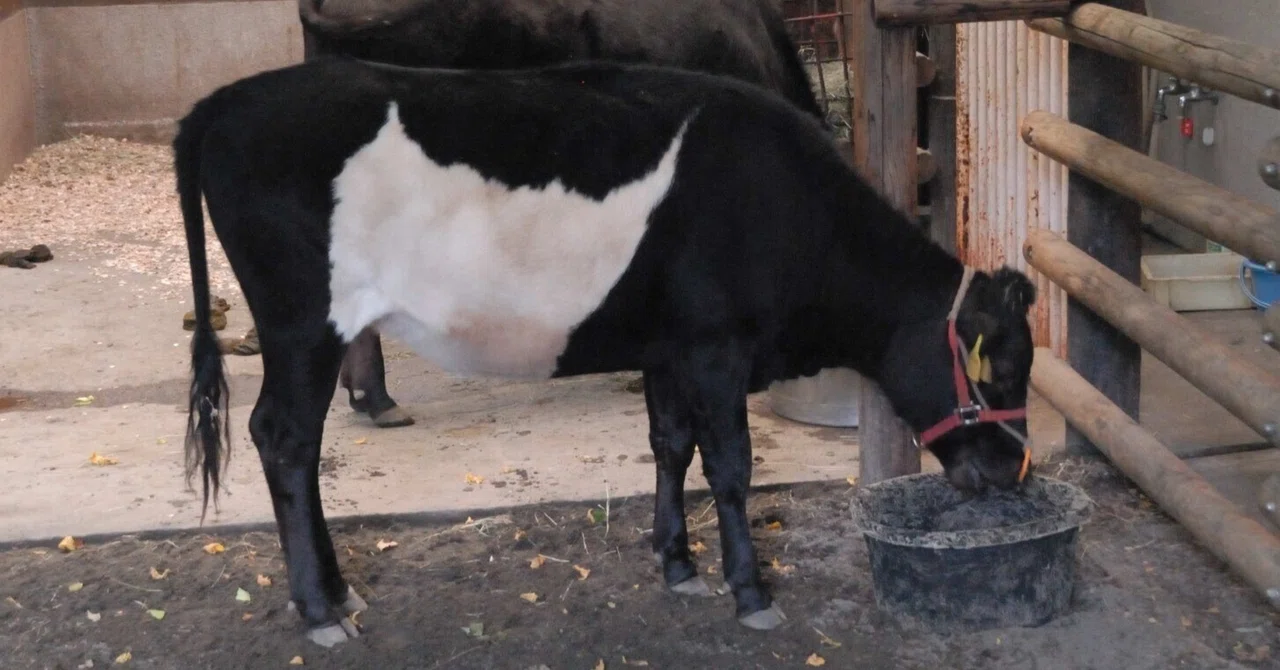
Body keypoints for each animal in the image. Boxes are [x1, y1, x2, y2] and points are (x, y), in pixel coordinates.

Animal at [176, 55, 1037, 648]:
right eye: (1001, 368)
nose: (1013, 471)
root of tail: (226, 100)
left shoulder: (669, 347)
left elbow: (670, 446)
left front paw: (679, 567)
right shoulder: (717, 346)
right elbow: (732, 467)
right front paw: (751, 593)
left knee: (298, 446)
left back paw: (340, 592)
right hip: (301, 324)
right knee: (285, 439)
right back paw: (320, 610)